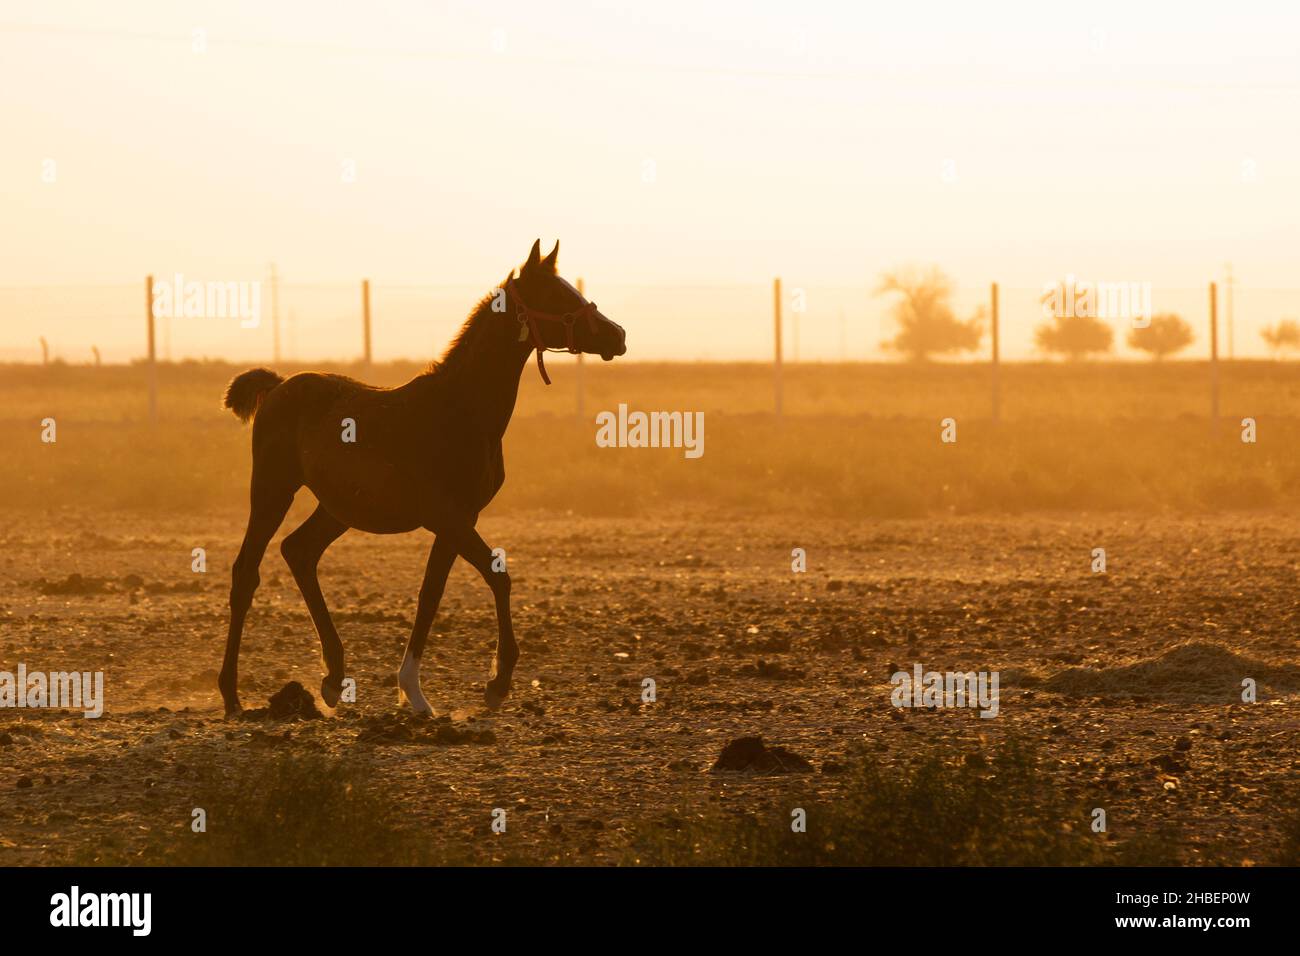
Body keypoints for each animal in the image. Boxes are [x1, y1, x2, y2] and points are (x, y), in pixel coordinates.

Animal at [215, 240, 626, 717]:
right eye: (556, 296)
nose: (618, 335)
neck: (461, 411)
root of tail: (278, 387)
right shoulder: (447, 516)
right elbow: (495, 577)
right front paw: (495, 684)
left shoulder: (459, 520)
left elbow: (431, 594)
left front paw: (413, 691)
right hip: (272, 489)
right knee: (247, 571)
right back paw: (231, 694)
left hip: (338, 508)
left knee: (299, 551)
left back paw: (333, 678)